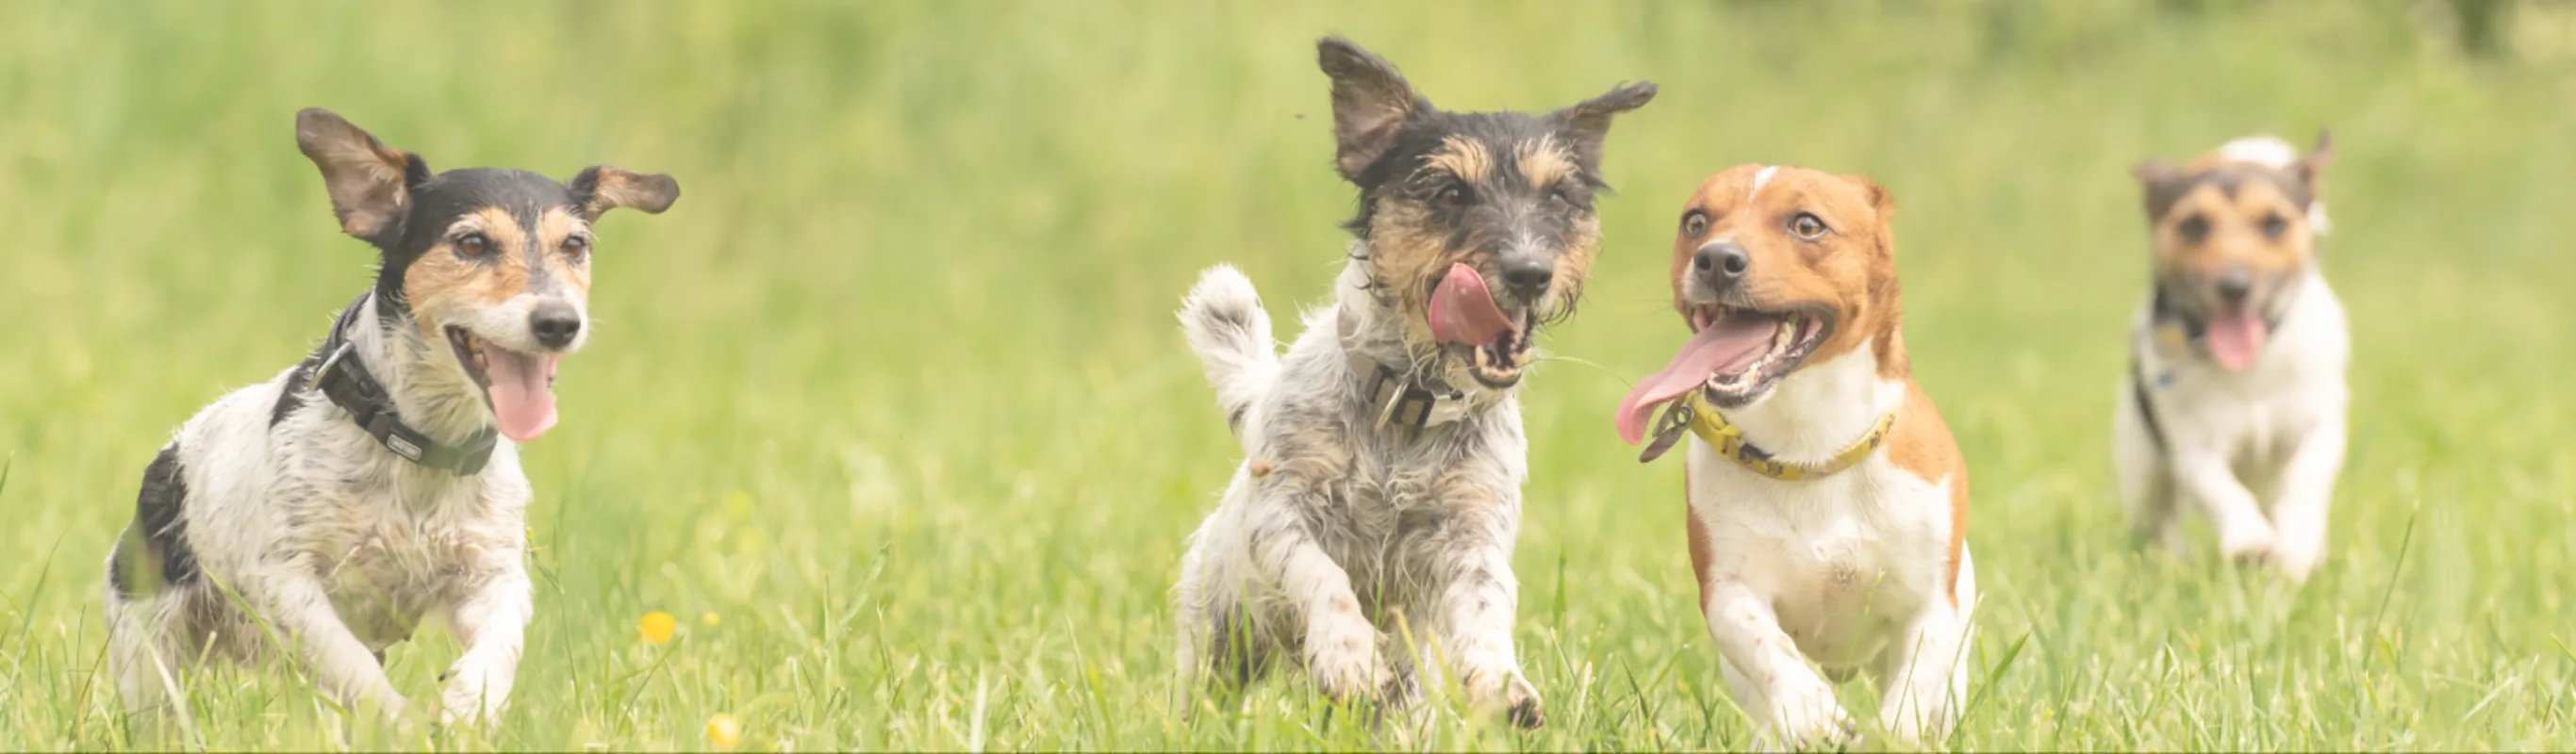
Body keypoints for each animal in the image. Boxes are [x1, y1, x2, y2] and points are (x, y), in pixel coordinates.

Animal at [107, 108, 680, 725]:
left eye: (575, 245)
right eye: (472, 243)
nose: (559, 322)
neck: (420, 441)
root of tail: (172, 451)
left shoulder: (492, 574)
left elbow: (500, 642)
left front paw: (467, 705)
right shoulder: (288, 579)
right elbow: (351, 665)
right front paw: (401, 723)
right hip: (148, 647)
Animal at [1174, 35, 1648, 720]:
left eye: (1558, 198)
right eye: (1450, 193)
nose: (1531, 272)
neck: (1408, 406)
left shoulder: (1475, 532)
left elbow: (1487, 602)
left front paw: (1501, 679)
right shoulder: (1281, 510)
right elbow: (1320, 574)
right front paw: (1347, 652)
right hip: (1219, 638)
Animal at [1607, 164, 1968, 746]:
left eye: (1807, 224)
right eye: (1695, 222)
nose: (1716, 258)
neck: (1811, 450)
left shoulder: (1931, 603)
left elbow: (1911, 692)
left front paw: (1890, 734)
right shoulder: (1728, 589)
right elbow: (1766, 647)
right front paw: (1808, 709)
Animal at [2112, 133, 2359, 582]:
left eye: (2274, 224)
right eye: (2194, 224)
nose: (2234, 286)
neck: (2251, 368)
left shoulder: (2319, 425)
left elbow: (2307, 479)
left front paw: (2297, 544)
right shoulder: (2192, 444)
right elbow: (2217, 487)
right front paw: (2249, 540)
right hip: (2141, 461)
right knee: (2159, 516)